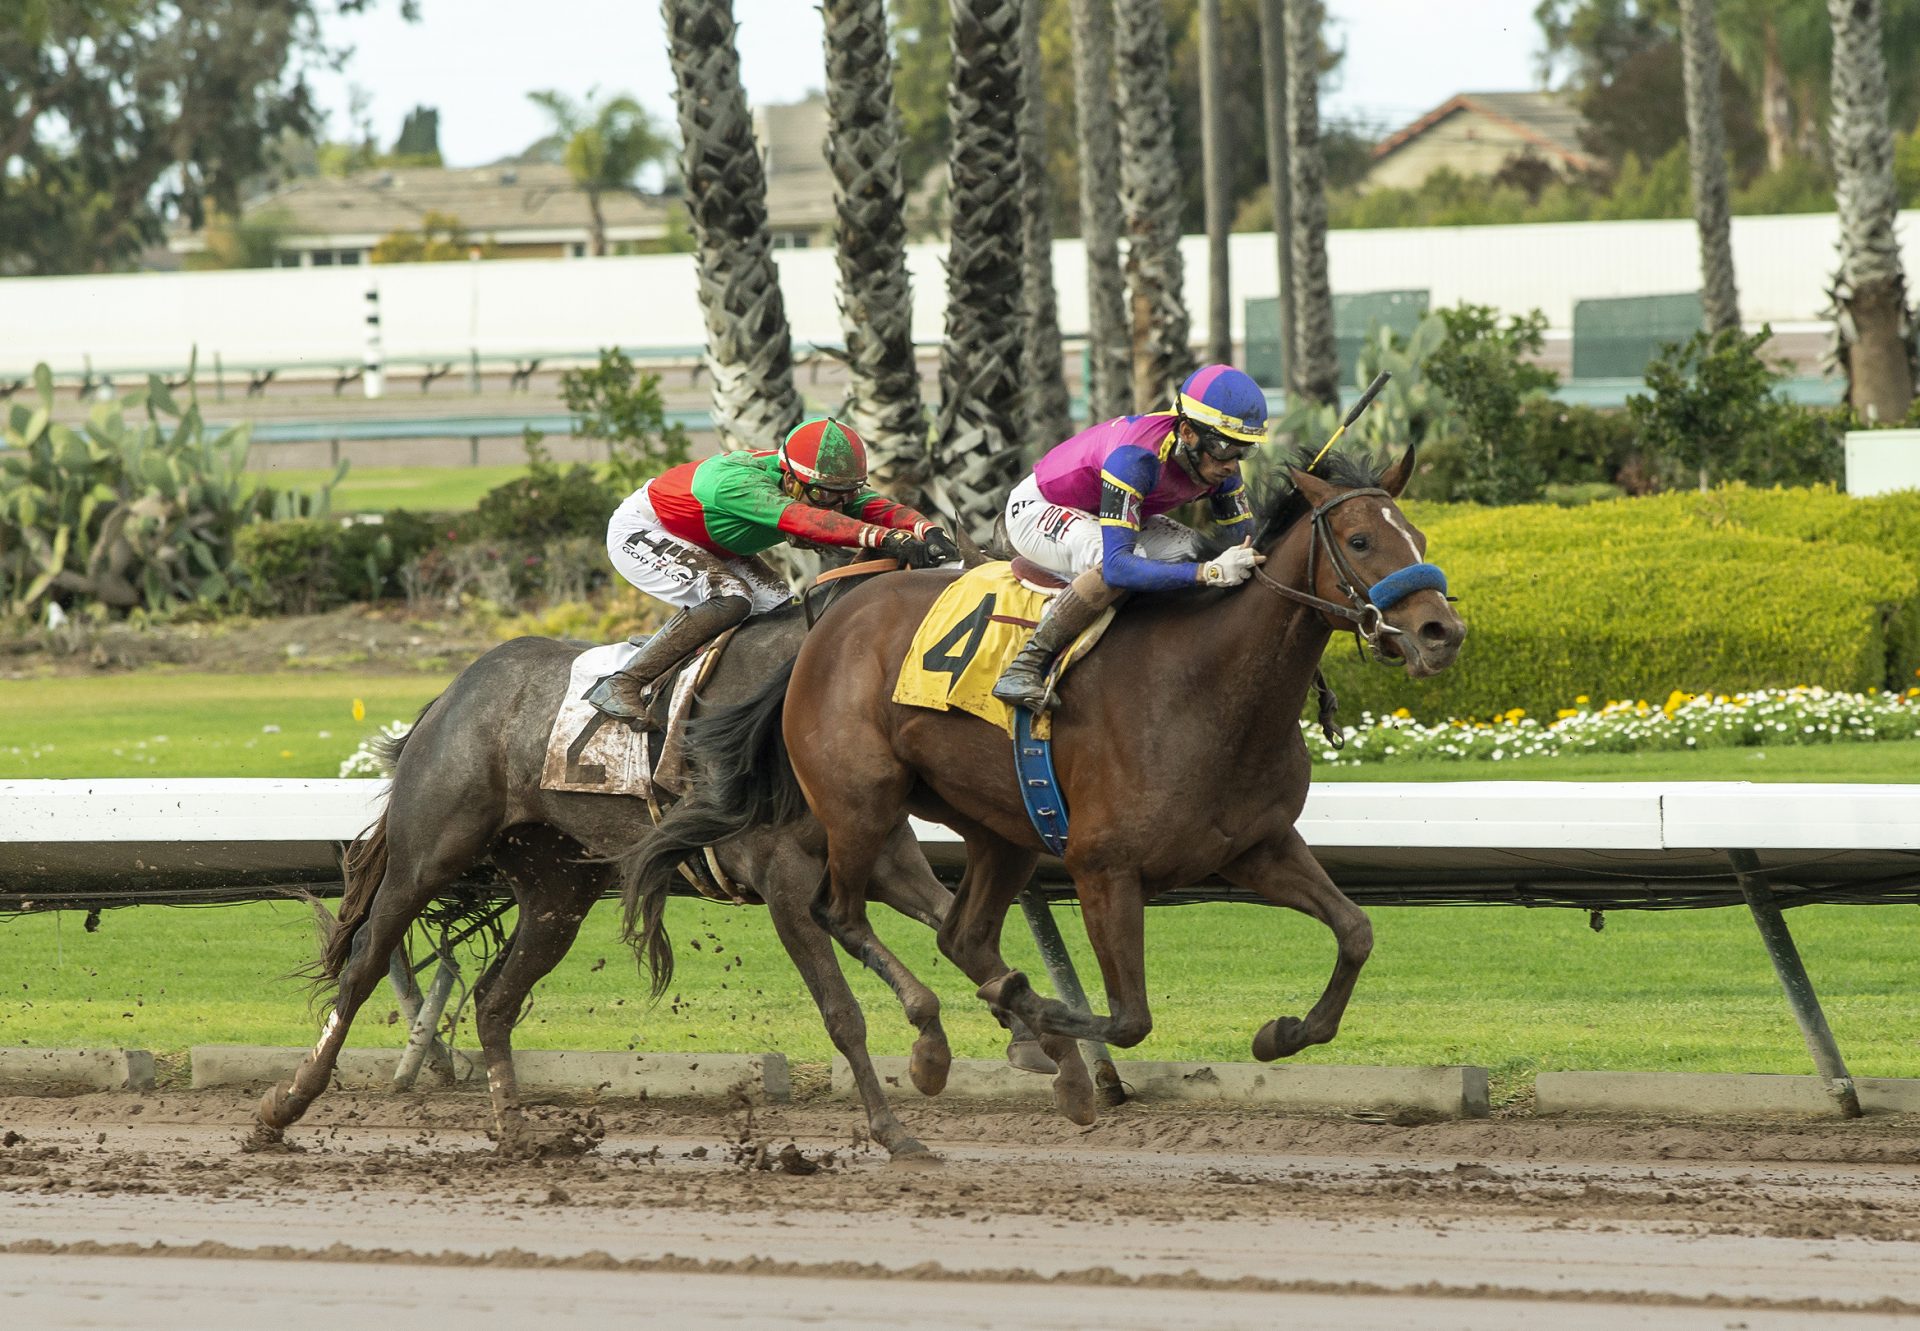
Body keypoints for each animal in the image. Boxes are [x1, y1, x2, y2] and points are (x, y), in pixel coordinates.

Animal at [245, 606, 1059, 1160]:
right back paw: (282, 1107)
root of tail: (450, 695)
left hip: (557, 890)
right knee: (361, 968)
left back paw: (517, 1129)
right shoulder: (786, 882)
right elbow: (844, 1014)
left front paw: (1030, 1037)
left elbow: (953, 929)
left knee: (494, 997)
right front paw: (896, 1128)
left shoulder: (884, 858)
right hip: (427, 855)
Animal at [622, 449, 1459, 1121]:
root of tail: (821, 627)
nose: (1440, 633)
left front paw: (1281, 1032)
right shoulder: (1102, 867)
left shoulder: (1255, 847)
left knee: (960, 933)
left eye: (1418, 537)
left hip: (1001, 828)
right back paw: (943, 1044)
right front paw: (1047, 1020)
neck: (1207, 685)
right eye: (1360, 539)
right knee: (839, 910)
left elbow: (1356, 930)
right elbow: (1128, 1018)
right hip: (860, 802)